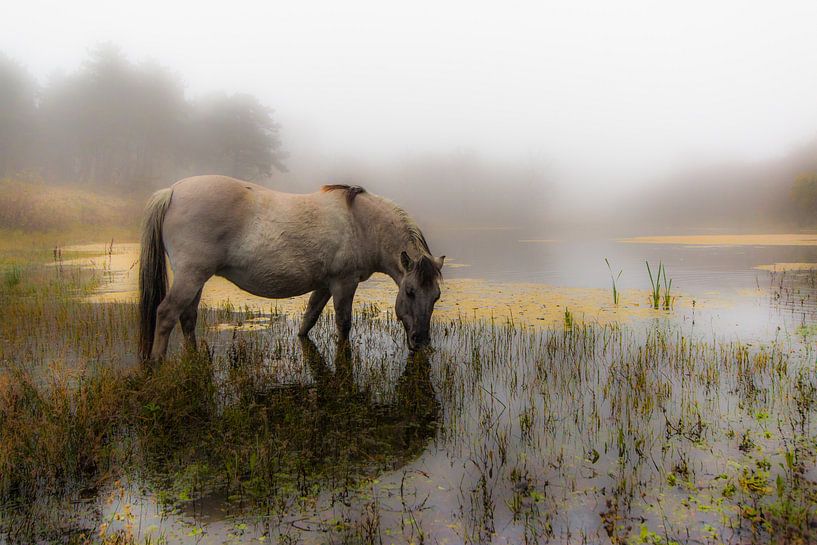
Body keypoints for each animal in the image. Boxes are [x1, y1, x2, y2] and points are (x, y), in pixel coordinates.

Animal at [140, 175, 446, 362]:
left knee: (187, 317)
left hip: (197, 279)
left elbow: (308, 320)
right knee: (166, 314)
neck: (360, 222)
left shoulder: (325, 285)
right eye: (409, 291)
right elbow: (344, 324)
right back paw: (156, 365)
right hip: (190, 276)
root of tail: (173, 191)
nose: (421, 340)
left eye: (436, 296)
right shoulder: (344, 283)